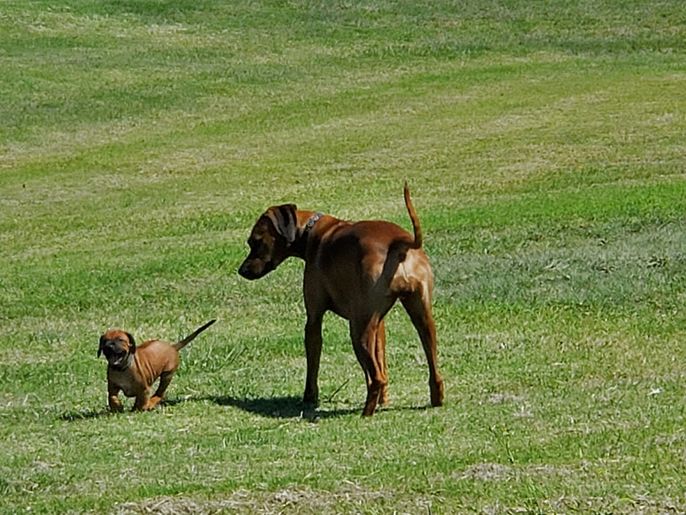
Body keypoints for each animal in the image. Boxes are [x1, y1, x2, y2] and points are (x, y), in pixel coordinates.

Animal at [238, 183, 443, 416]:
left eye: (255, 241)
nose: (241, 270)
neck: (309, 231)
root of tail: (401, 243)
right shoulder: (378, 323)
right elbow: (380, 360)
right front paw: (385, 401)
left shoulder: (314, 319)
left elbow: (313, 364)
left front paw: (309, 398)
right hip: (422, 320)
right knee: (432, 370)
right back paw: (435, 399)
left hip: (358, 331)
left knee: (377, 378)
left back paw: (366, 413)